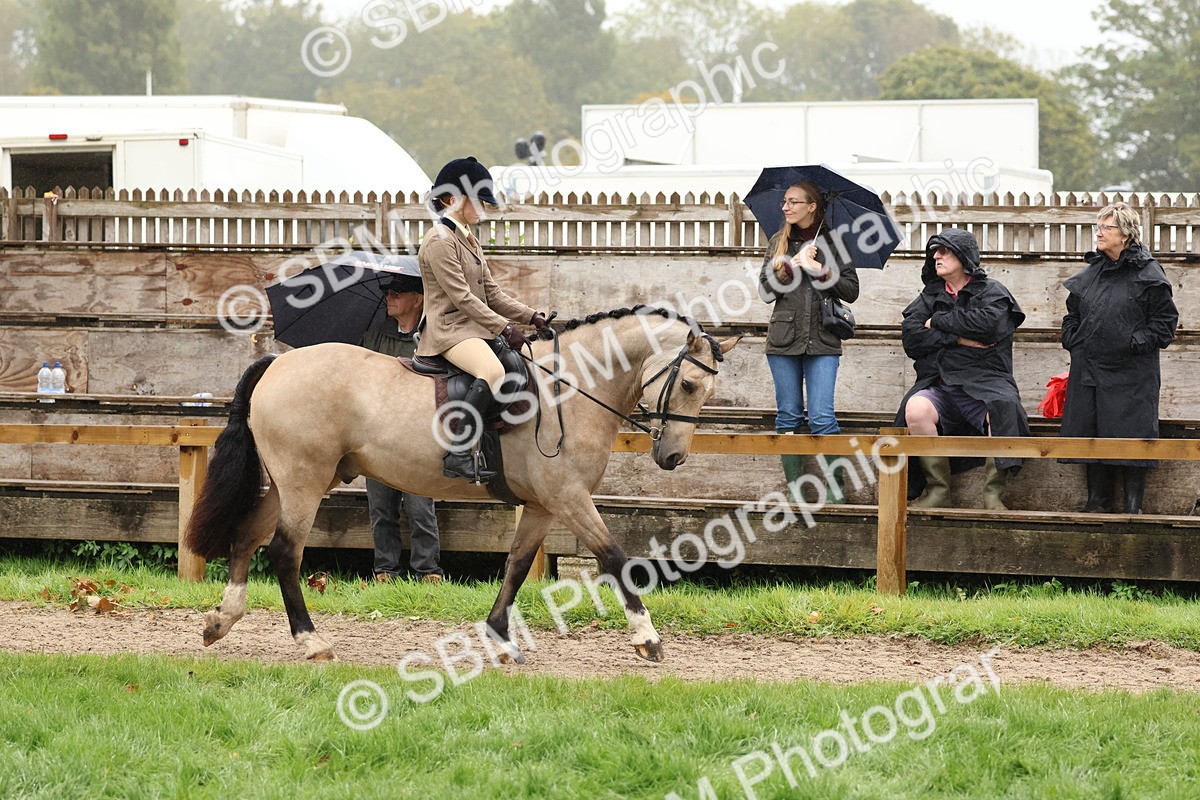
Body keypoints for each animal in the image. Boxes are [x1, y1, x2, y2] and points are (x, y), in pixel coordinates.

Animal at [184, 306, 740, 662]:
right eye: (689, 383)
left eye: (705, 390)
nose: (672, 457)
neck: (570, 388)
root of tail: (279, 360)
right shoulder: (569, 498)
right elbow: (615, 558)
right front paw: (647, 639)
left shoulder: (543, 506)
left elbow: (516, 567)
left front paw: (499, 638)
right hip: (304, 482)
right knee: (284, 551)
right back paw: (311, 641)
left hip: (290, 482)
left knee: (247, 536)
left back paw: (220, 622)